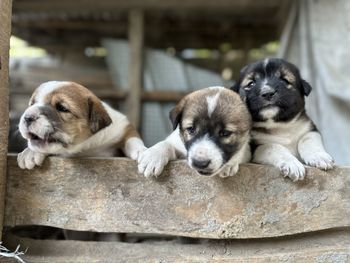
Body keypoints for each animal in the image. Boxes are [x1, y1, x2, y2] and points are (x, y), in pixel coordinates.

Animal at [16, 81, 145, 170]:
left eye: (62, 108)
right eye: (32, 104)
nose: (28, 117)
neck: (87, 146)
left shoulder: (124, 126)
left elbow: (132, 139)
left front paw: (143, 152)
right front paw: (30, 153)